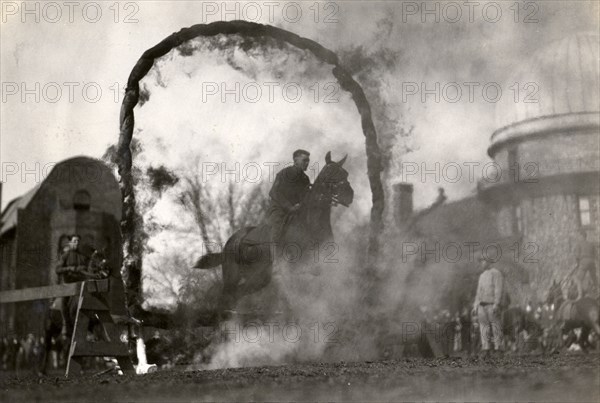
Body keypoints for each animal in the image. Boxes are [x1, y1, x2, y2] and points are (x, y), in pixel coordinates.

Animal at [192, 152, 354, 318]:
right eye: (330, 173)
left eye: (345, 173)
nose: (349, 195)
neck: (309, 224)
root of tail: (228, 244)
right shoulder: (294, 268)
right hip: (232, 277)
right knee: (226, 299)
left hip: (259, 279)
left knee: (238, 294)